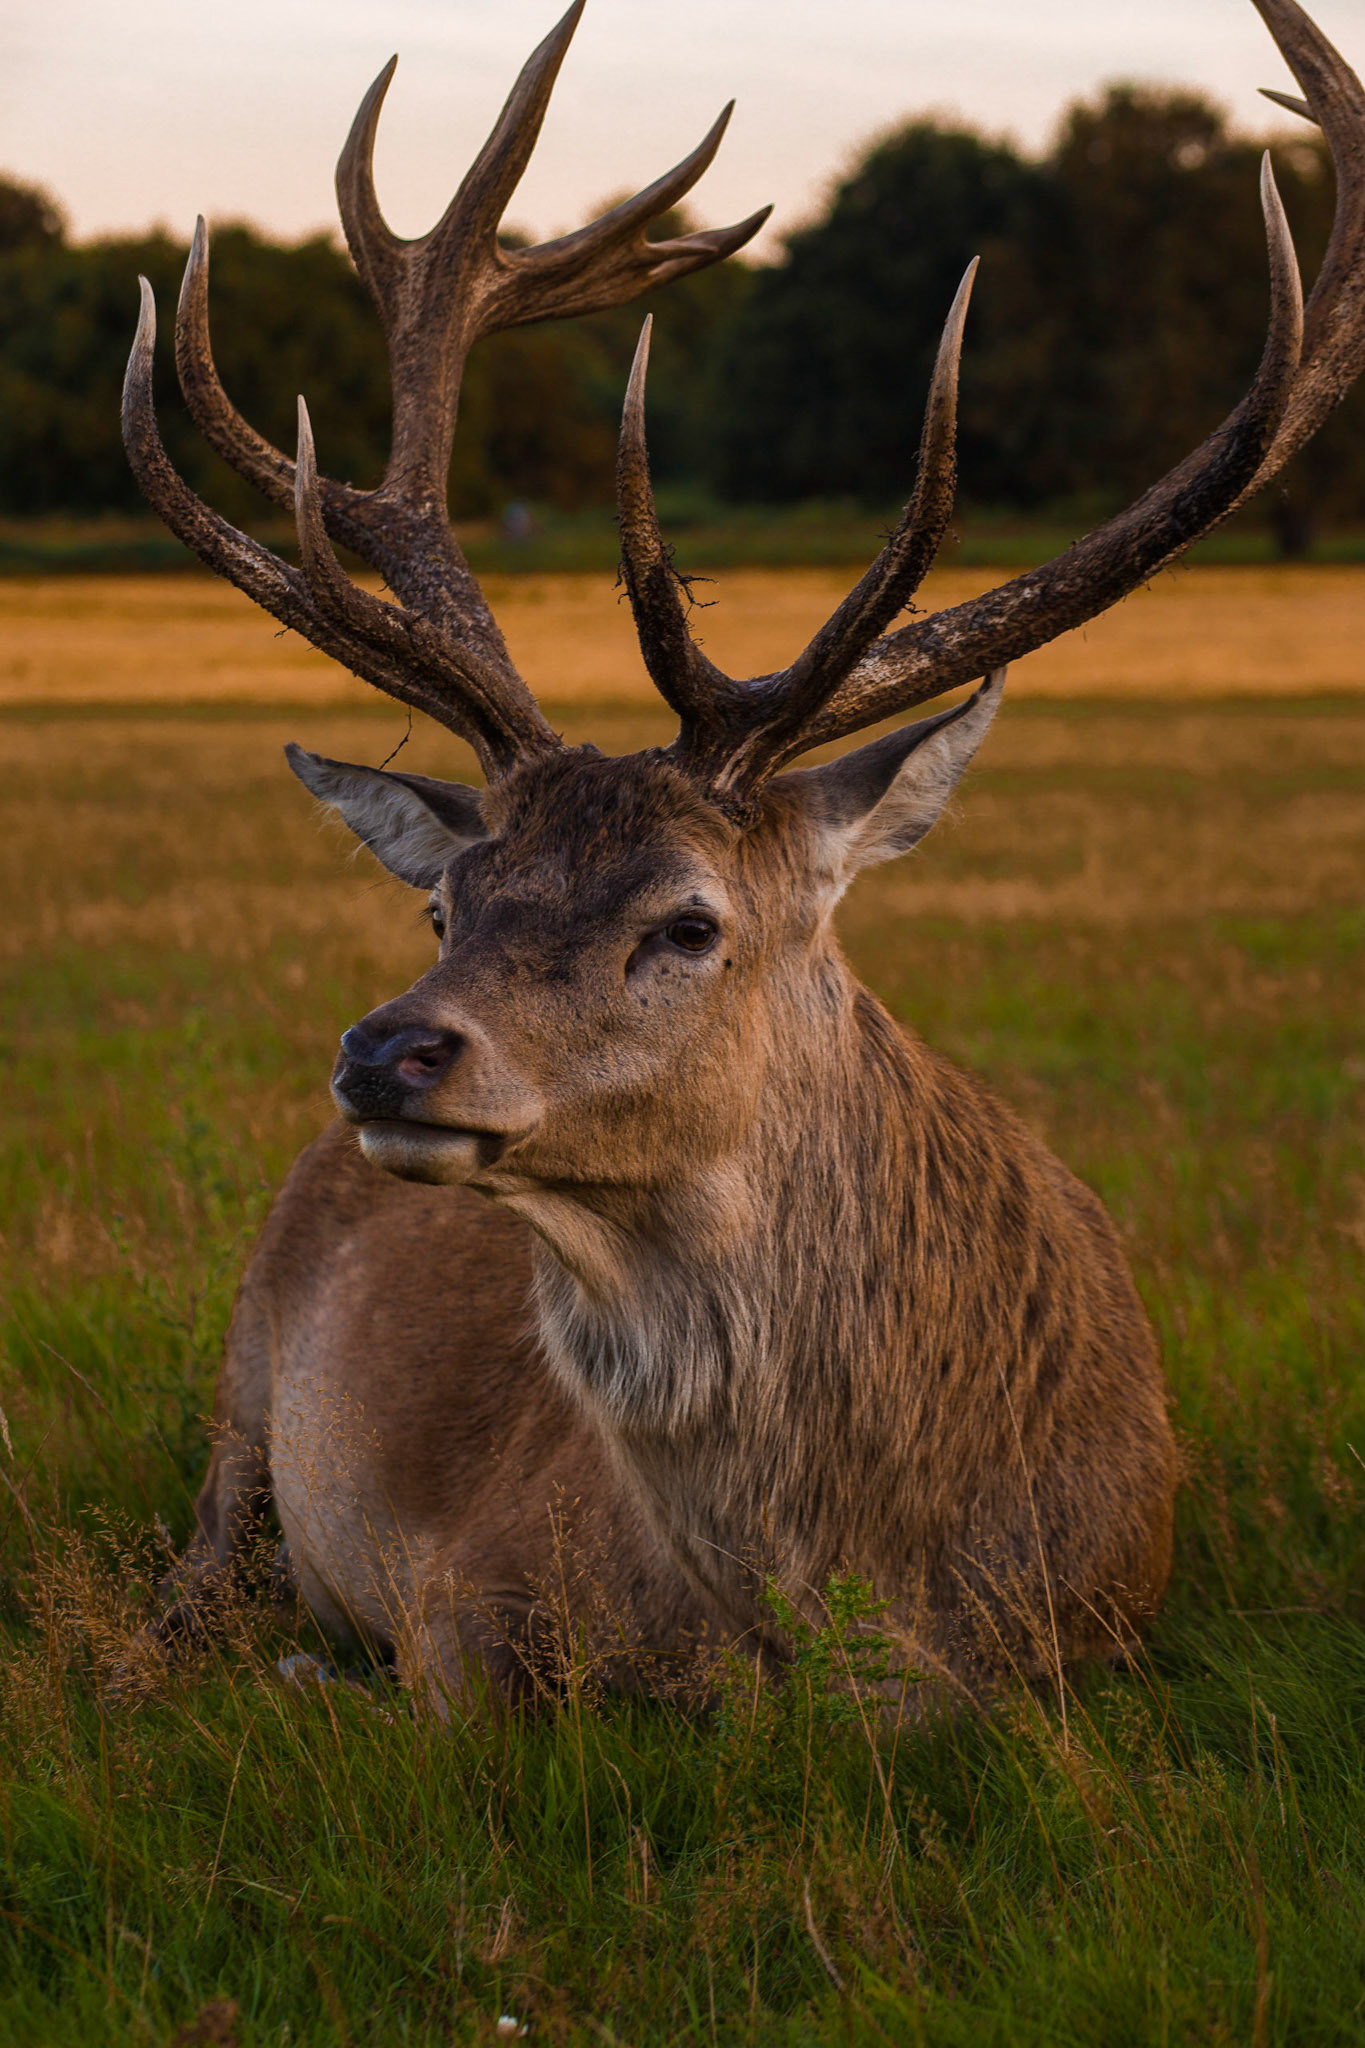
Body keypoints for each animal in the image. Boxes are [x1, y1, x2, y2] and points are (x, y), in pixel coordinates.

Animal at [121, 0, 1364, 1713]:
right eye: (445, 902)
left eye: (689, 922)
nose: (384, 1052)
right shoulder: (454, 1590)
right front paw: (320, 1681)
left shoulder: (1108, 1630)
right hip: (242, 1381)